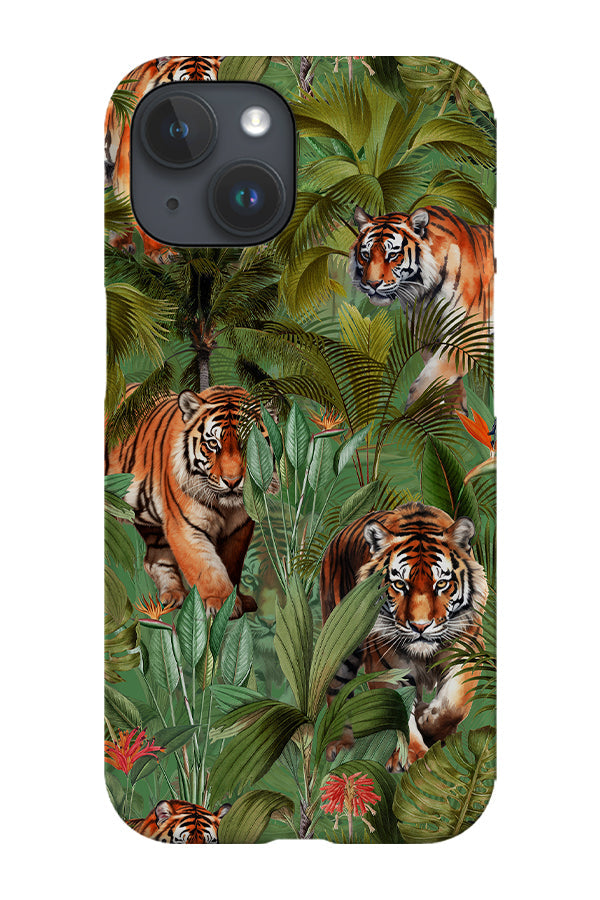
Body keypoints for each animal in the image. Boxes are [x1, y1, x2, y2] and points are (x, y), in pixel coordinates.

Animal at [105, 384, 278, 618]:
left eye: (248, 444)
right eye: (213, 444)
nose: (232, 481)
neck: (227, 507)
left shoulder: (239, 530)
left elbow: (232, 564)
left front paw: (238, 598)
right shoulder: (185, 526)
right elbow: (205, 566)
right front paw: (223, 605)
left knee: (155, 558)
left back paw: (173, 594)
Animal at [320, 502, 488, 770]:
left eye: (441, 584)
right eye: (399, 584)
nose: (420, 626)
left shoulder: (467, 648)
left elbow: (455, 703)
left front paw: (429, 723)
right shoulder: (386, 666)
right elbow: (397, 710)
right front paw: (414, 756)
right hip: (341, 644)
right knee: (337, 691)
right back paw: (340, 744)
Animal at [349, 205, 494, 411]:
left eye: (392, 255)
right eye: (366, 255)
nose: (372, 283)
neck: (422, 291)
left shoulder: (470, 330)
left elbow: (435, 374)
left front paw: (415, 408)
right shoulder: (426, 332)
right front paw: (453, 412)